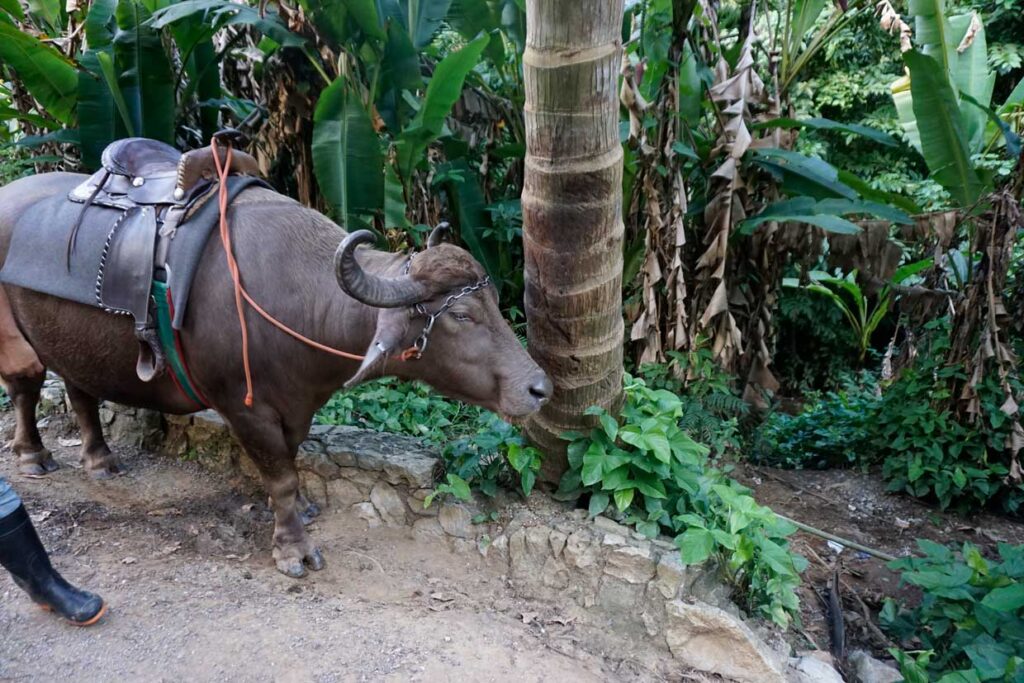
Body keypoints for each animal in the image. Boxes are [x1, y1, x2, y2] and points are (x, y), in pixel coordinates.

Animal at [0, 173, 552, 577]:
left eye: (491, 302)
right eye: (461, 315)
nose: (539, 388)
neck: (298, 298)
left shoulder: (295, 405)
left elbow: (292, 460)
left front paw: (303, 509)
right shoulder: (244, 408)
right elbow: (281, 475)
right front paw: (294, 548)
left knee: (79, 391)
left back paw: (100, 460)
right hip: (16, 341)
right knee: (26, 387)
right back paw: (33, 455)